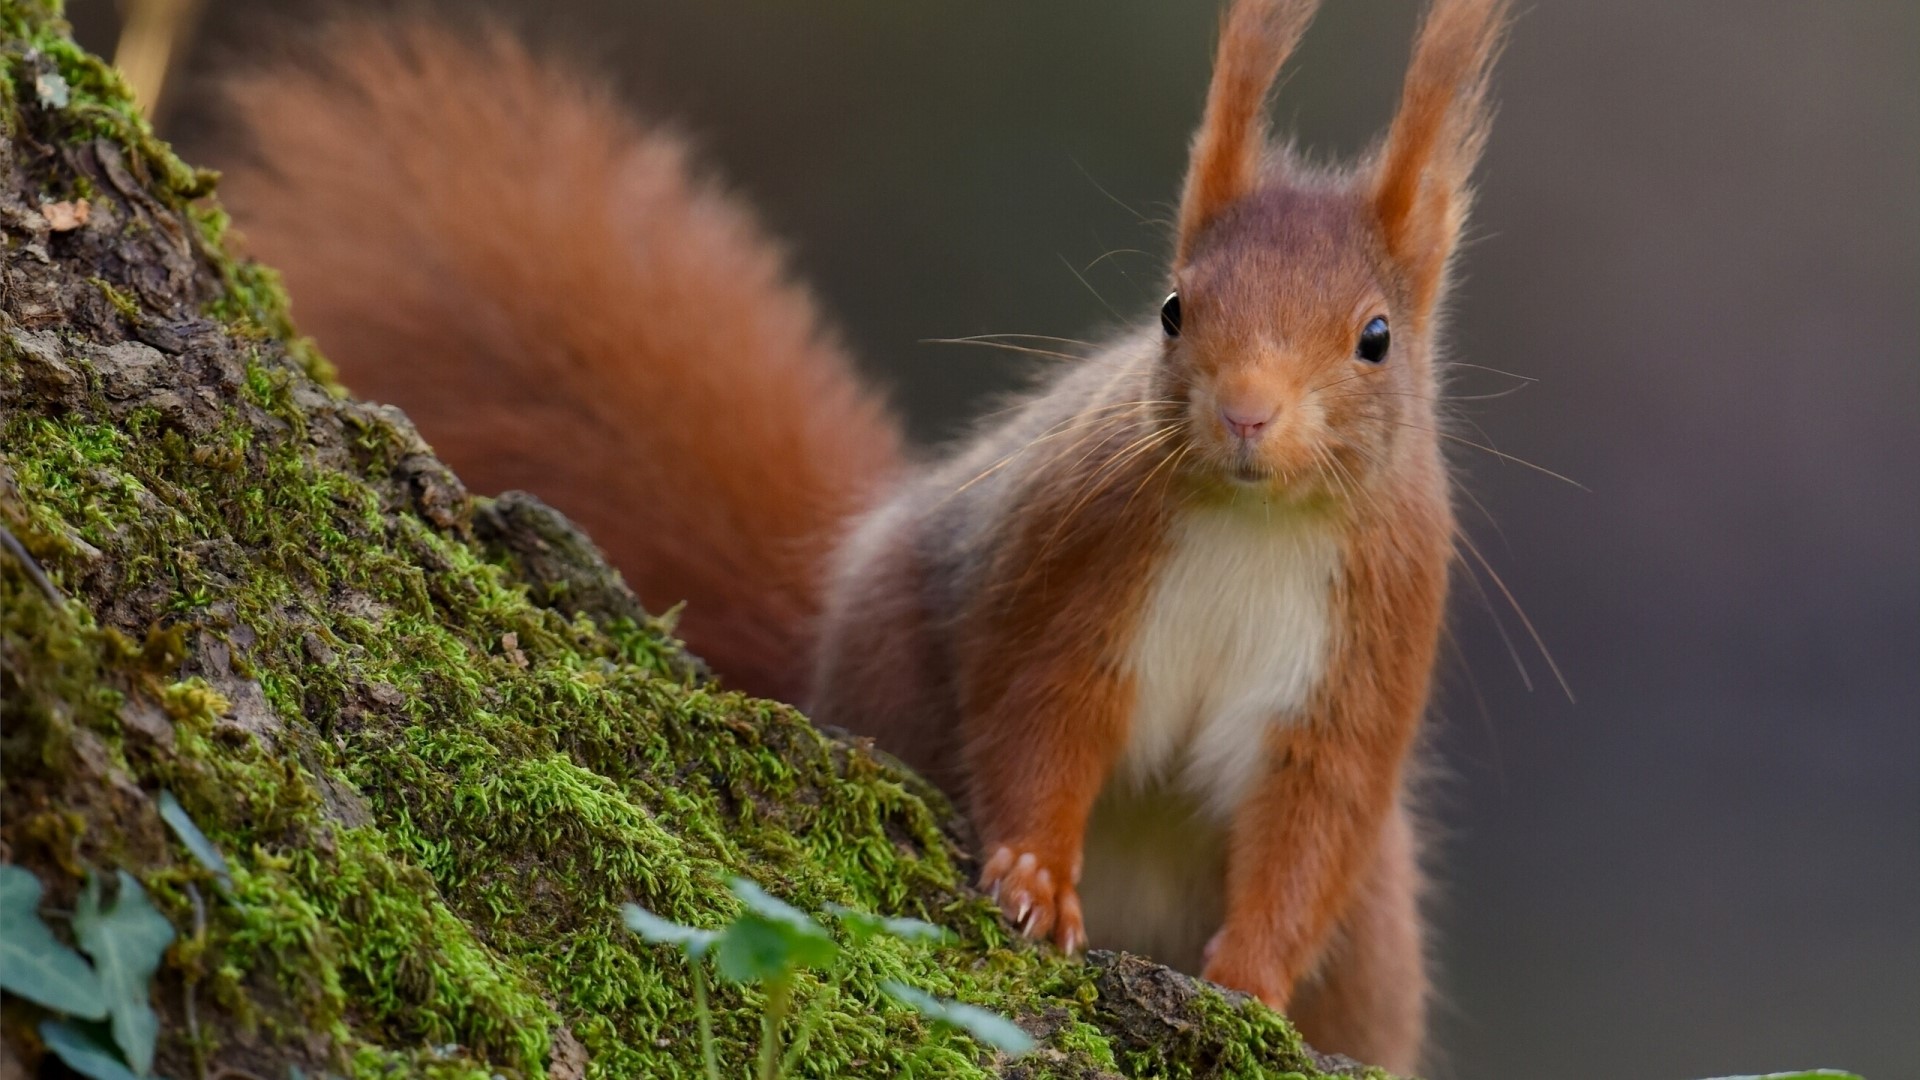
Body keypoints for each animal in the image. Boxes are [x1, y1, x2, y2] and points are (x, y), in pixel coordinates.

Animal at [214, 0, 1509, 1071]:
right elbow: (1040, 717)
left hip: (1379, 938)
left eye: (1376, 338)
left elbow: (1311, 829)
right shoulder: (1076, 565)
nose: (1245, 412)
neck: (1256, 521)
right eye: (1174, 308)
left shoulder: (1364, 653)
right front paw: (1034, 880)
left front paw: (1247, 985)